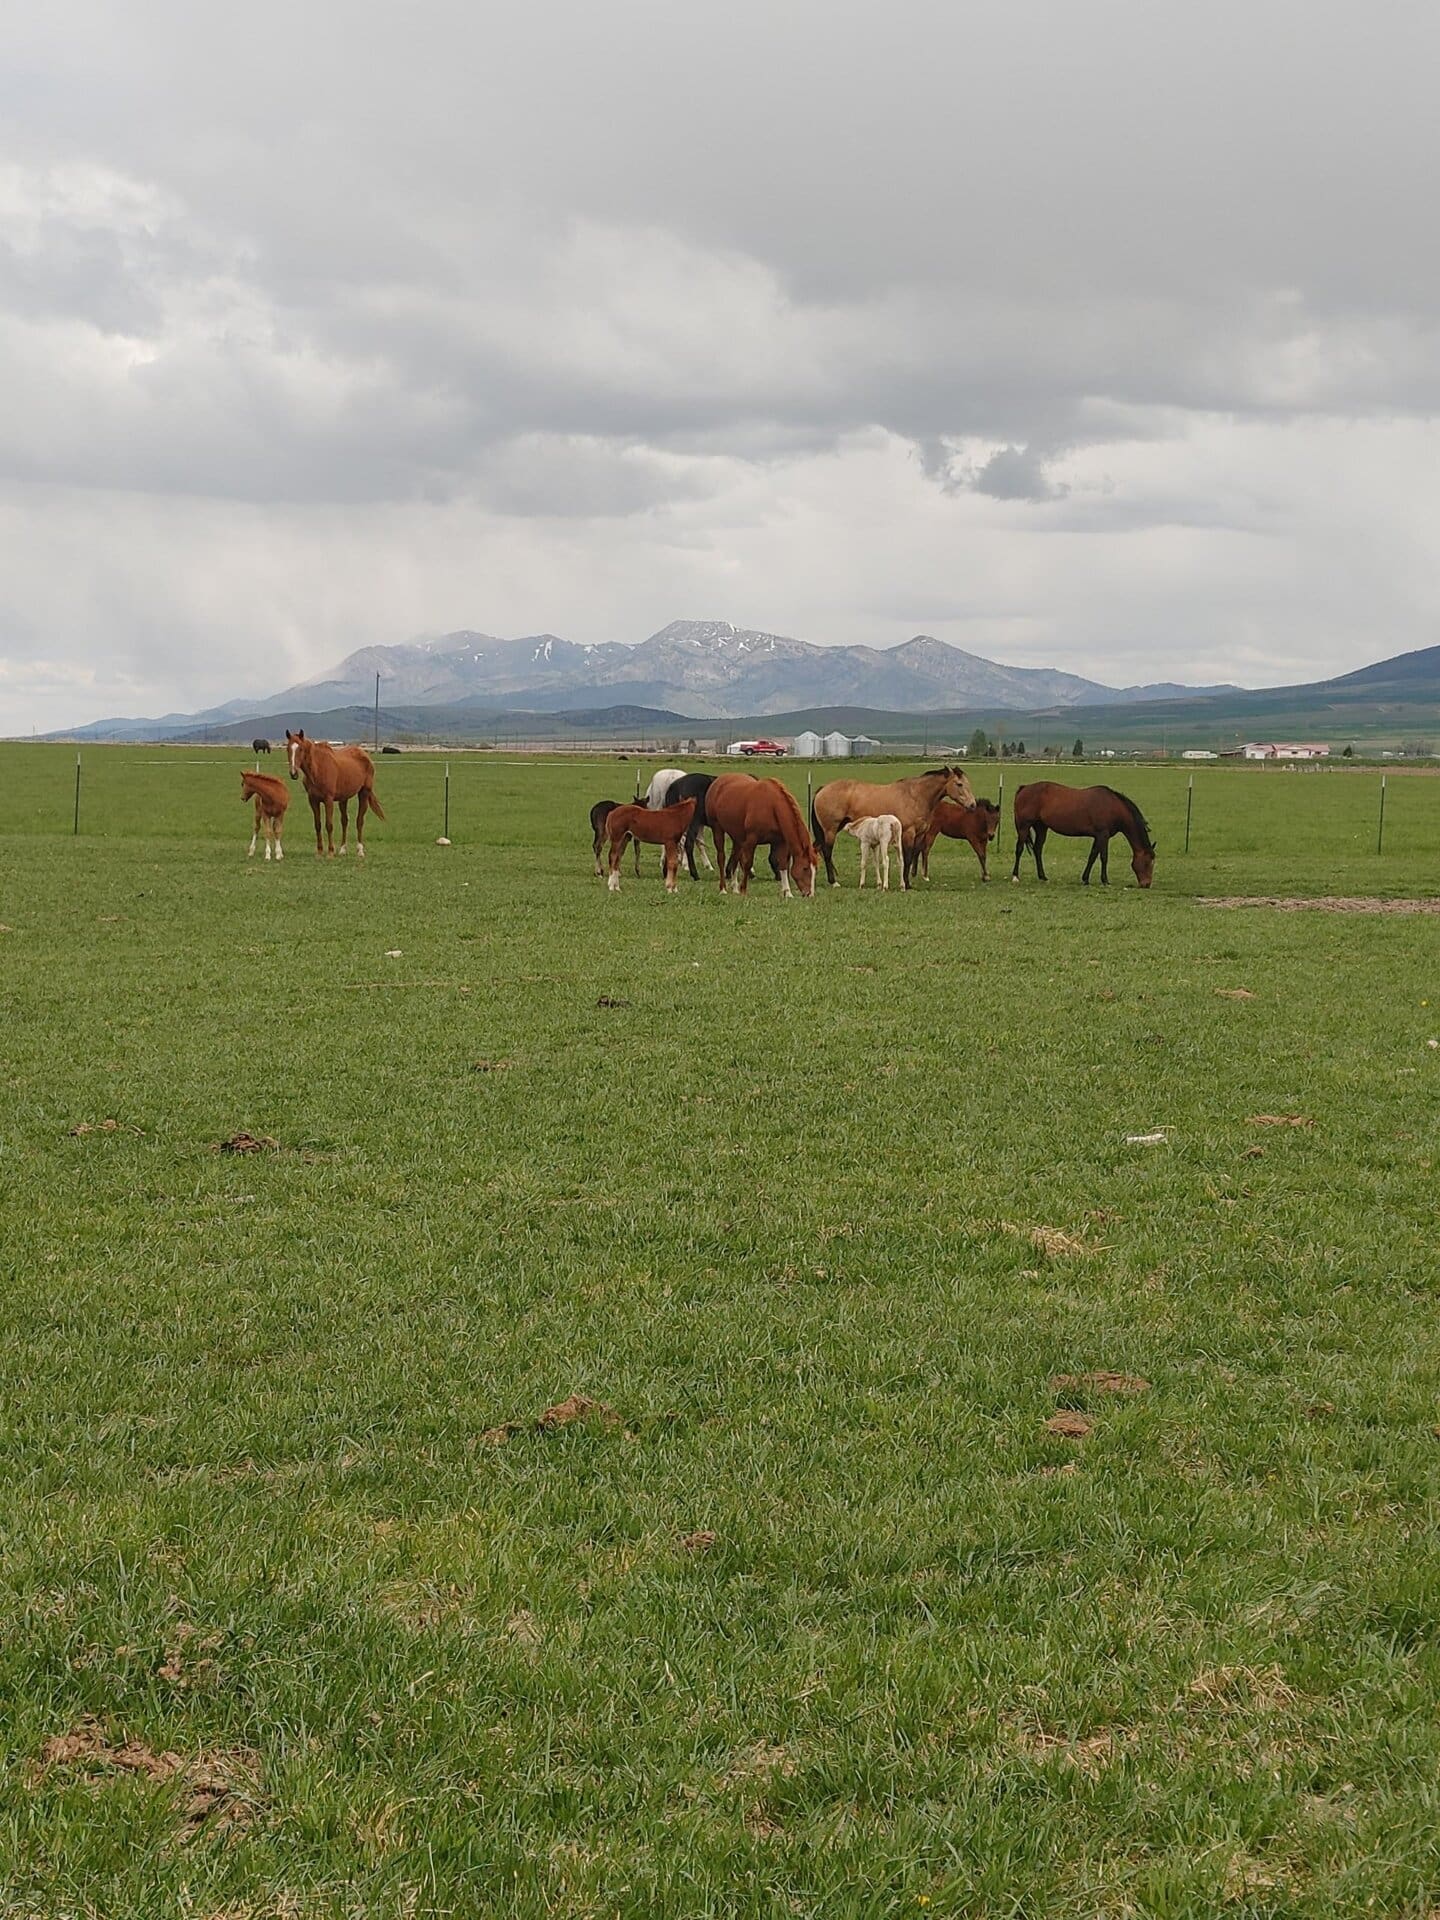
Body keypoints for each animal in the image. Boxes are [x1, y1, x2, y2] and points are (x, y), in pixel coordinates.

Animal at [285, 729, 386, 858]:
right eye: (288, 749)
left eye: (301, 749)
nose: (293, 773)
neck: (318, 769)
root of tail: (364, 754)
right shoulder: (313, 800)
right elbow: (318, 825)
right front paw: (319, 852)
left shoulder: (328, 800)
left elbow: (329, 825)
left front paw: (330, 852)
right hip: (344, 798)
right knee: (344, 821)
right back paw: (342, 849)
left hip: (363, 793)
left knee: (359, 821)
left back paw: (360, 850)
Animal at [812, 766, 974, 889]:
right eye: (959, 784)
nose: (972, 805)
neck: (916, 796)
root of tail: (823, 788)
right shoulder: (908, 833)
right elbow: (907, 858)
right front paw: (906, 884)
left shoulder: (919, 835)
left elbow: (911, 857)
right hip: (830, 830)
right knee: (827, 852)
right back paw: (833, 882)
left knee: (817, 848)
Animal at [1011, 782, 1155, 888]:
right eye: (1148, 862)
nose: (1146, 884)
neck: (1113, 807)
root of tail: (1024, 788)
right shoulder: (1103, 835)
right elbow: (1104, 857)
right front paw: (1105, 880)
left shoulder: (1098, 836)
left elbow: (1092, 856)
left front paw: (1085, 879)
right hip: (1024, 826)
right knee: (1019, 849)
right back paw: (1015, 876)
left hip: (1041, 827)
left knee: (1037, 849)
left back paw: (1043, 877)